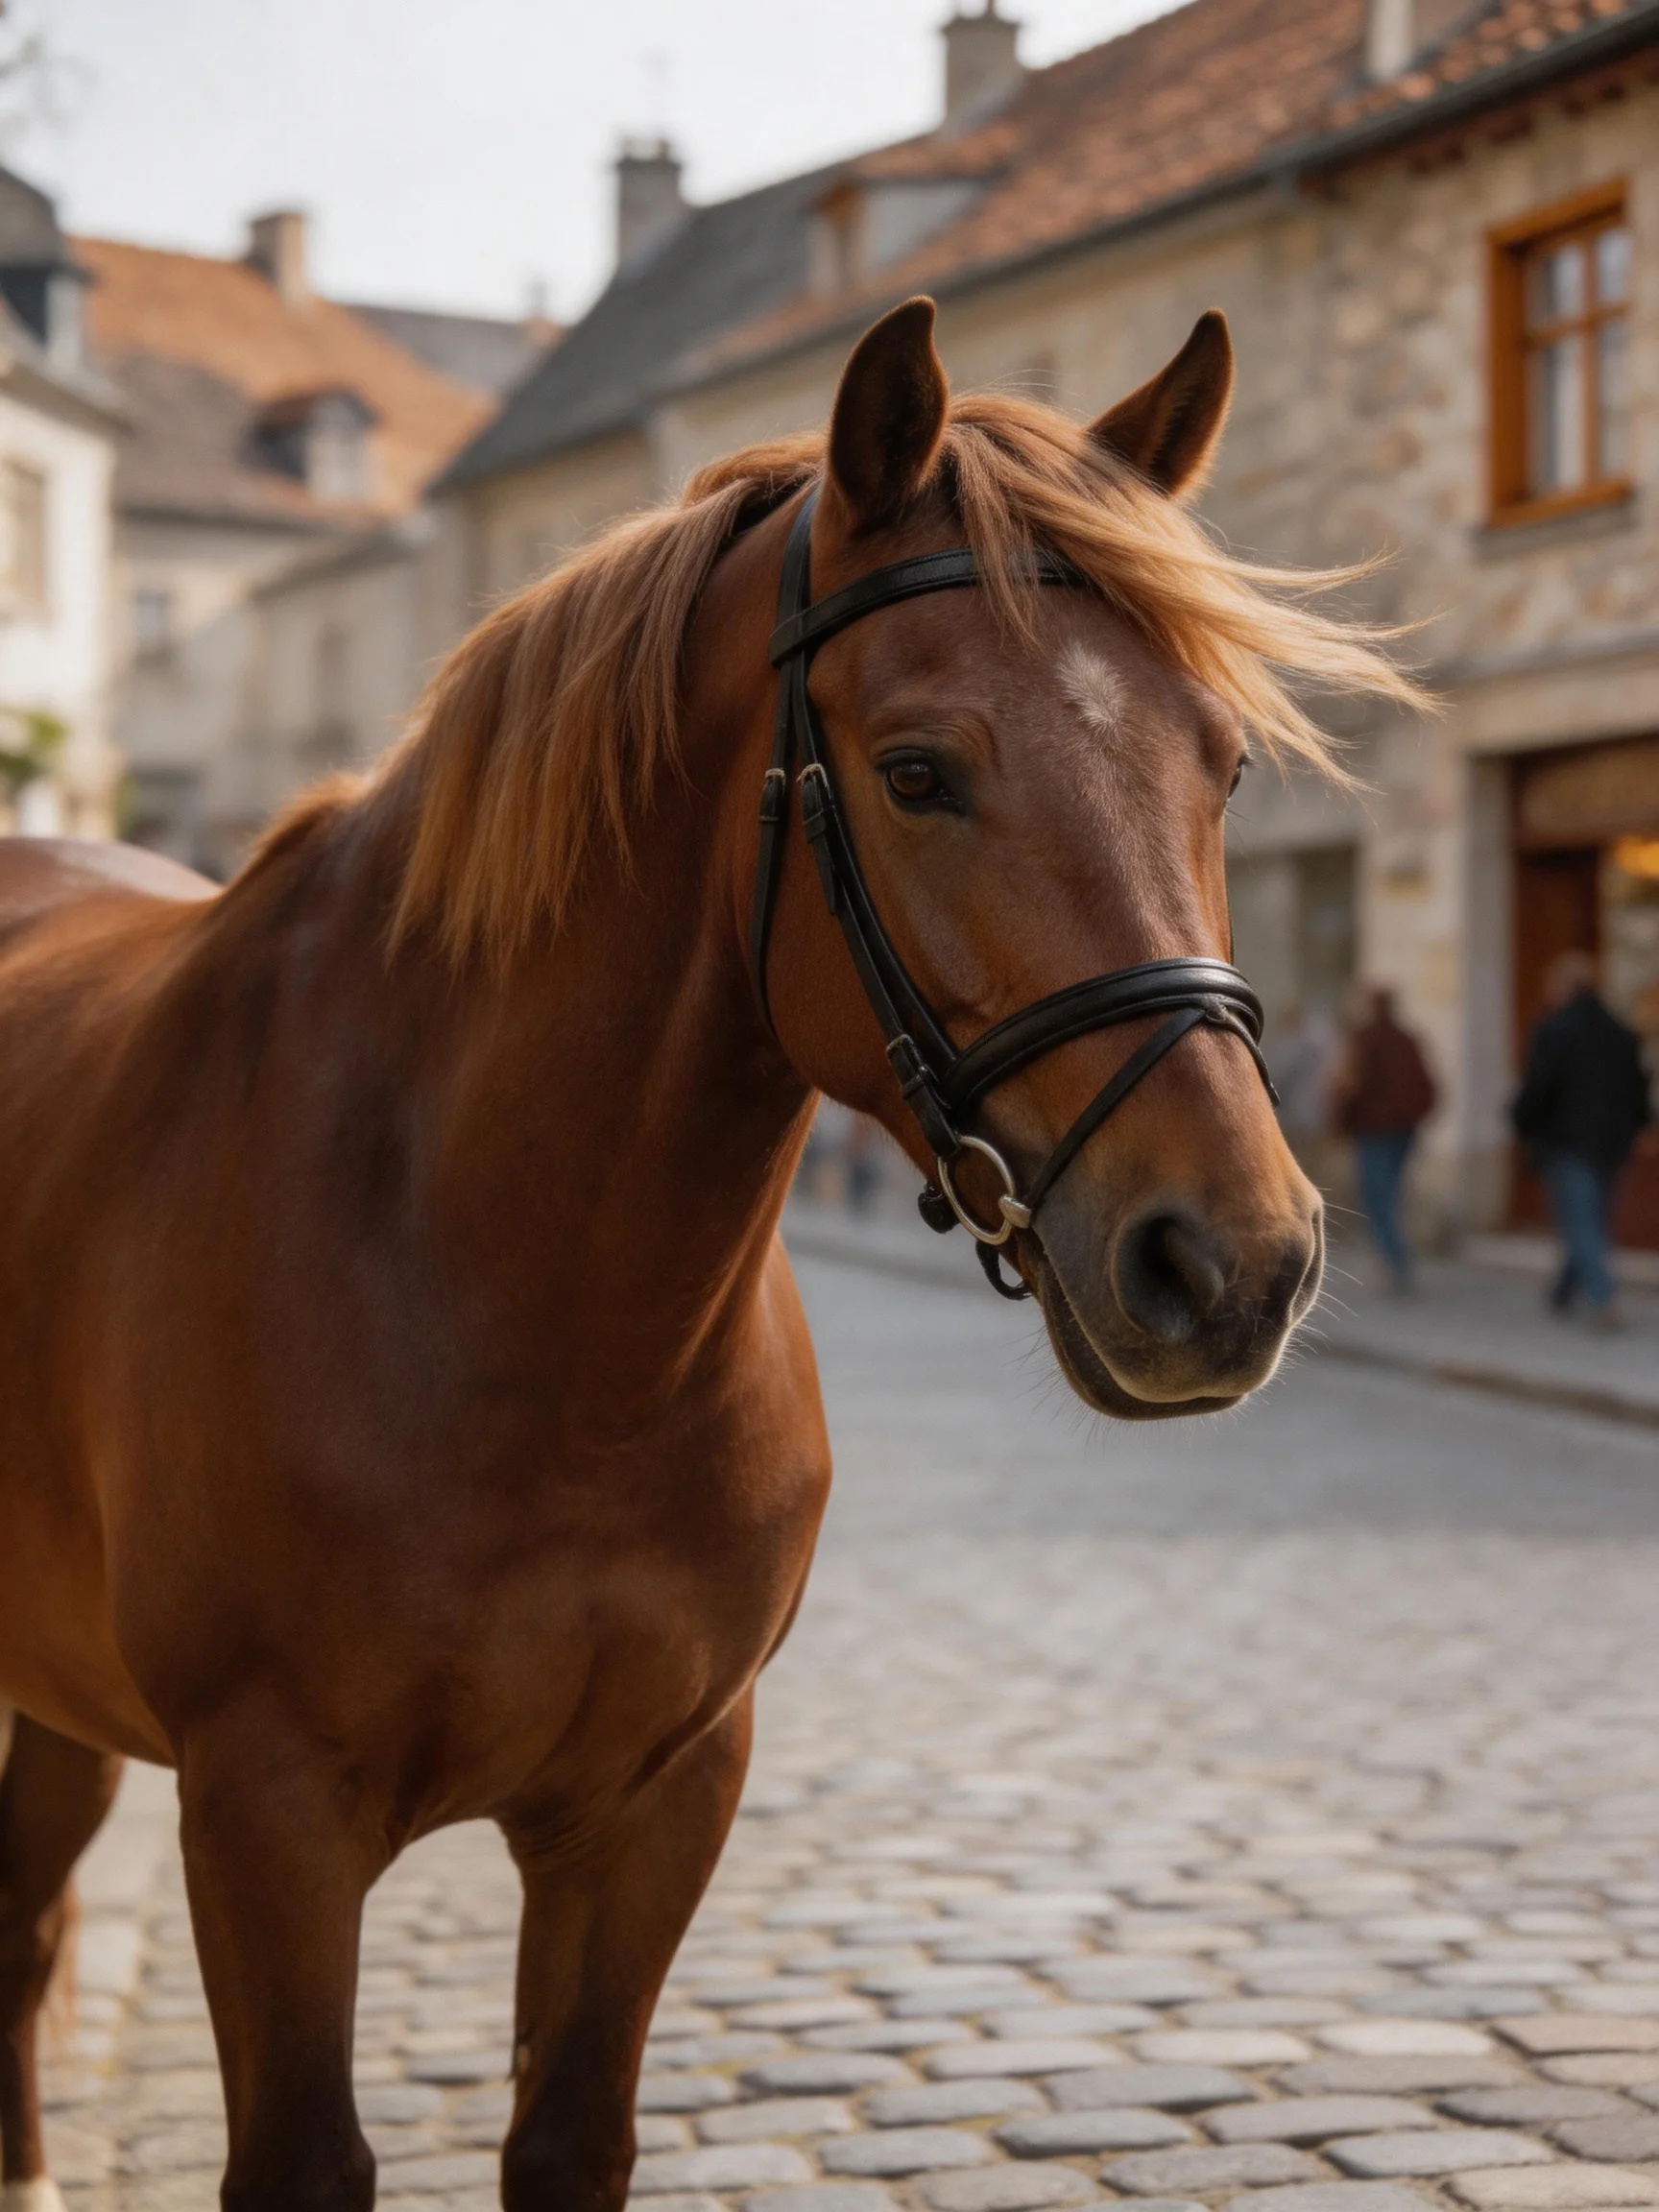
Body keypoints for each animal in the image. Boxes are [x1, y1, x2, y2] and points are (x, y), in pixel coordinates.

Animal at [0, 297, 1417, 2211]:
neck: (530, 1316)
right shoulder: (264, 1814)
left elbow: (570, 2132)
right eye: (916, 770)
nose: (1235, 1261)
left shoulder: (658, 1799)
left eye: (1226, 763)